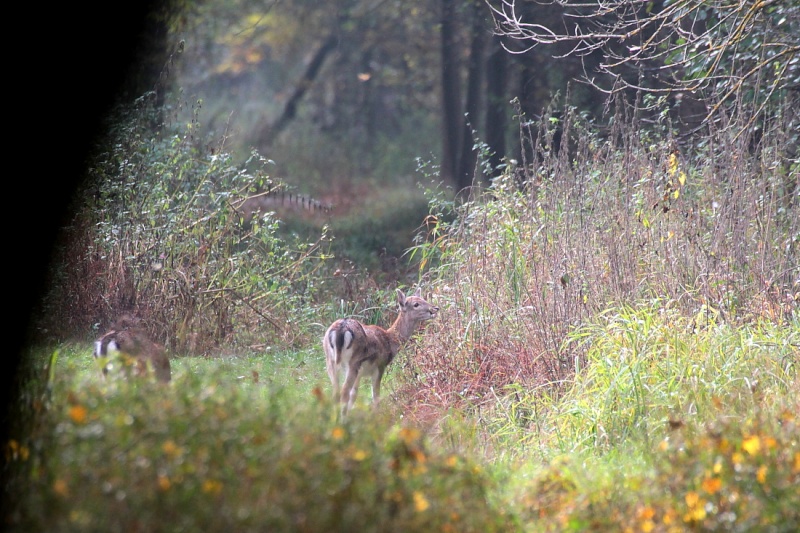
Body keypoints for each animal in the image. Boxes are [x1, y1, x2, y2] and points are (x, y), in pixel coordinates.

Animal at [324, 286, 438, 416]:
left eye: (423, 299)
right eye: (416, 304)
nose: (435, 309)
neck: (390, 342)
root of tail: (340, 330)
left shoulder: (360, 374)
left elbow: (354, 394)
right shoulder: (380, 366)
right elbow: (375, 396)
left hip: (330, 362)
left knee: (336, 394)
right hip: (353, 362)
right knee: (344, 392)